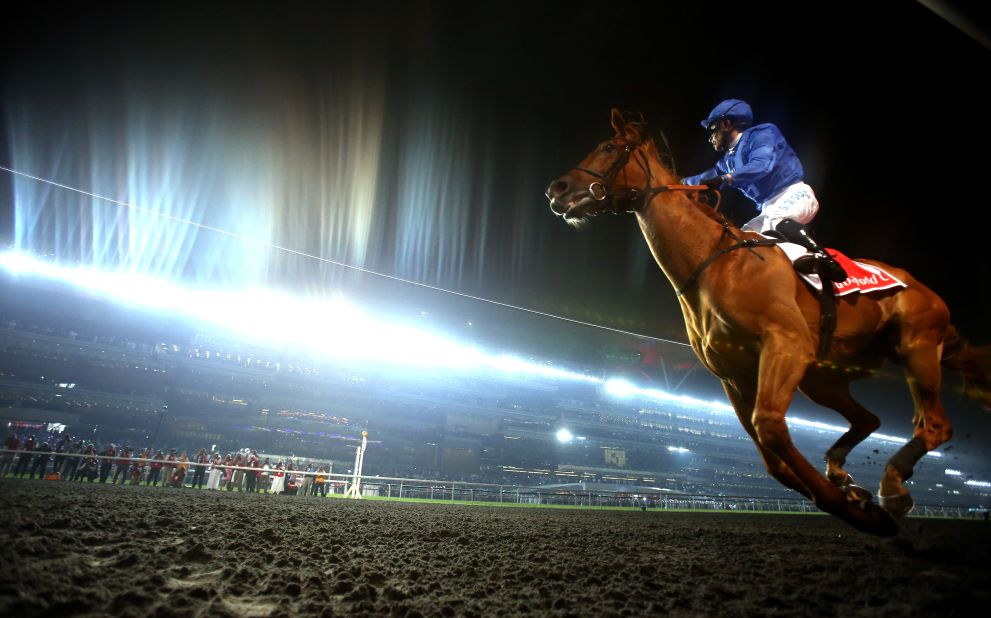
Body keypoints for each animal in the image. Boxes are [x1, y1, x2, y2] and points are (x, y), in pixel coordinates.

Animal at [548, 110, 988, 536]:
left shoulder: (785, 346)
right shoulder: (735, 377)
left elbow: (771, 426)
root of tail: (921, 287)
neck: (714, 264)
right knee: (871, 419)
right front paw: (852, 499)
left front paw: (855, 507)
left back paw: (892, 487)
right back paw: (845, 473)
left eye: (608, 147)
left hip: (916, 347)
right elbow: (773, 460)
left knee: (934, 425)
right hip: (824, 378)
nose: (557, 188)